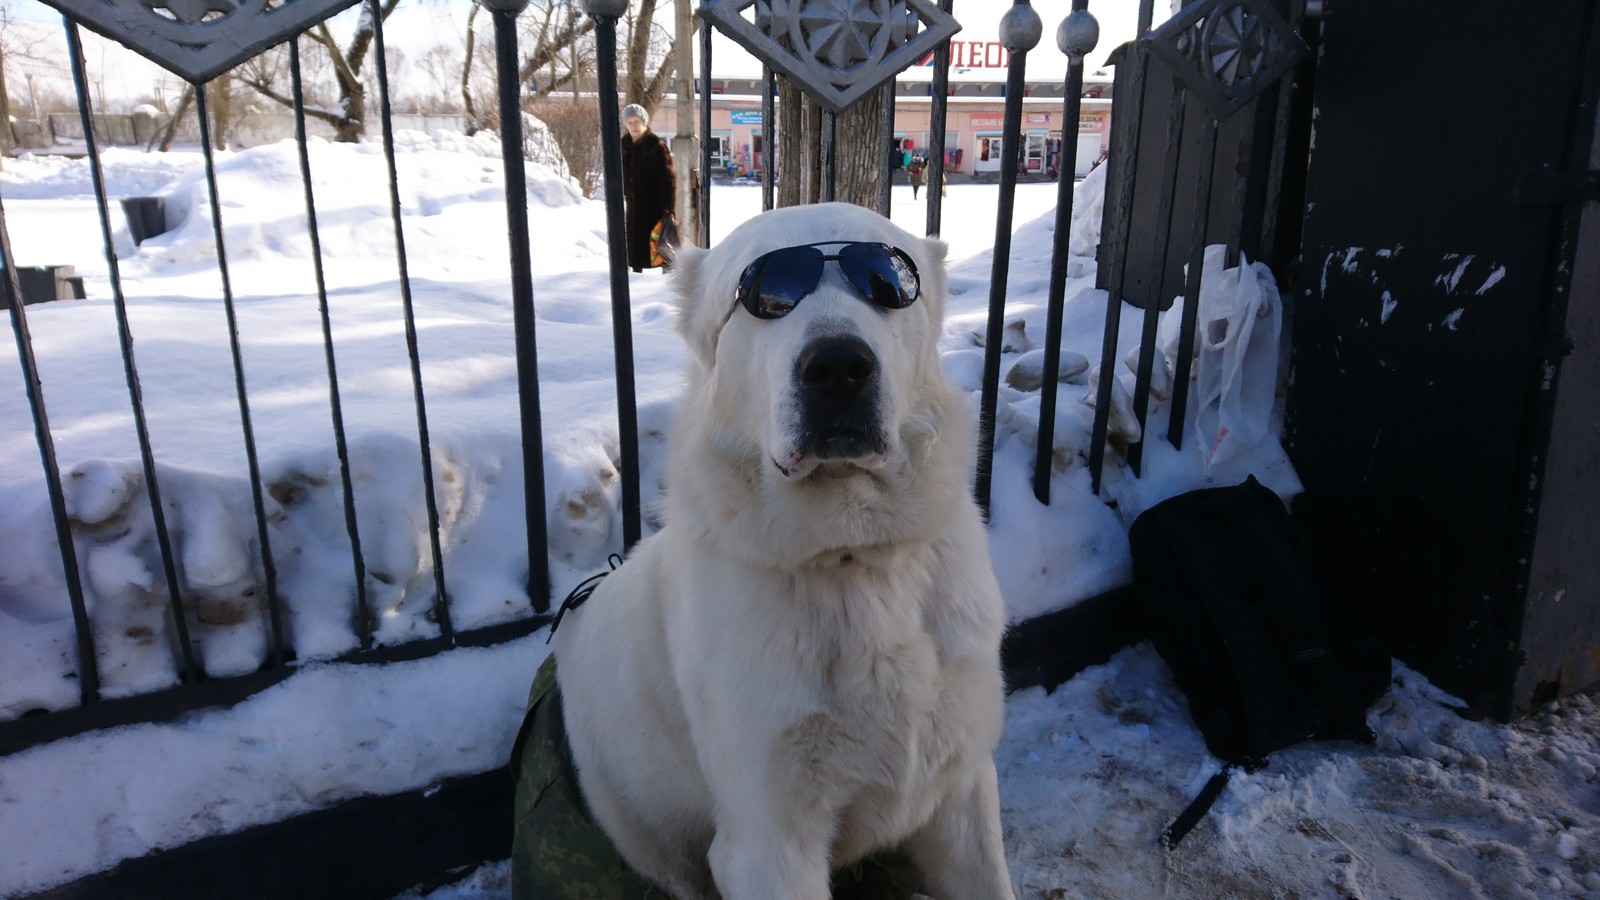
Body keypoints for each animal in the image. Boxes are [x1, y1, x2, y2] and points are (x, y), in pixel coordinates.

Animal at [556, 203, 1017, 896]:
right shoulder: (765, 844)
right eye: (764, 297)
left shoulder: (962, 786)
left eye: (888, 281)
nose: (839, 367)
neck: (853, 556)